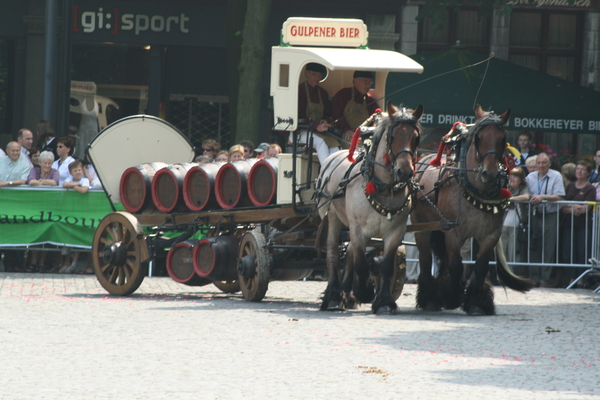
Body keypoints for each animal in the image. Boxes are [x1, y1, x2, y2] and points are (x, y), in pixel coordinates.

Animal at [316, 101, 424, 314]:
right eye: (392, 136)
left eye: (415, 138)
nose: (405, 171)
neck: (382, 187)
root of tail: (333, 156)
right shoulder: (358, 229)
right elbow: (361, 263)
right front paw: (363, 291)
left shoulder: (396, 232)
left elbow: (386, 265)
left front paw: (384, 301)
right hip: (333, 217)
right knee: (333, 253)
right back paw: (334, 295)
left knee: (348, 252)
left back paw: (346, 292)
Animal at [412, 105, 536, 316]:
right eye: (478, 137)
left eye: (503, 137)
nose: (490, 173)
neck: (474, 189)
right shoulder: (453, 232)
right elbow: (456, 266)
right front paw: (453, 297)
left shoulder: (490, 234)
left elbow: (480, 266)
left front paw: (477, 302)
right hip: (423, 227)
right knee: (426, 258)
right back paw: (430, 299)